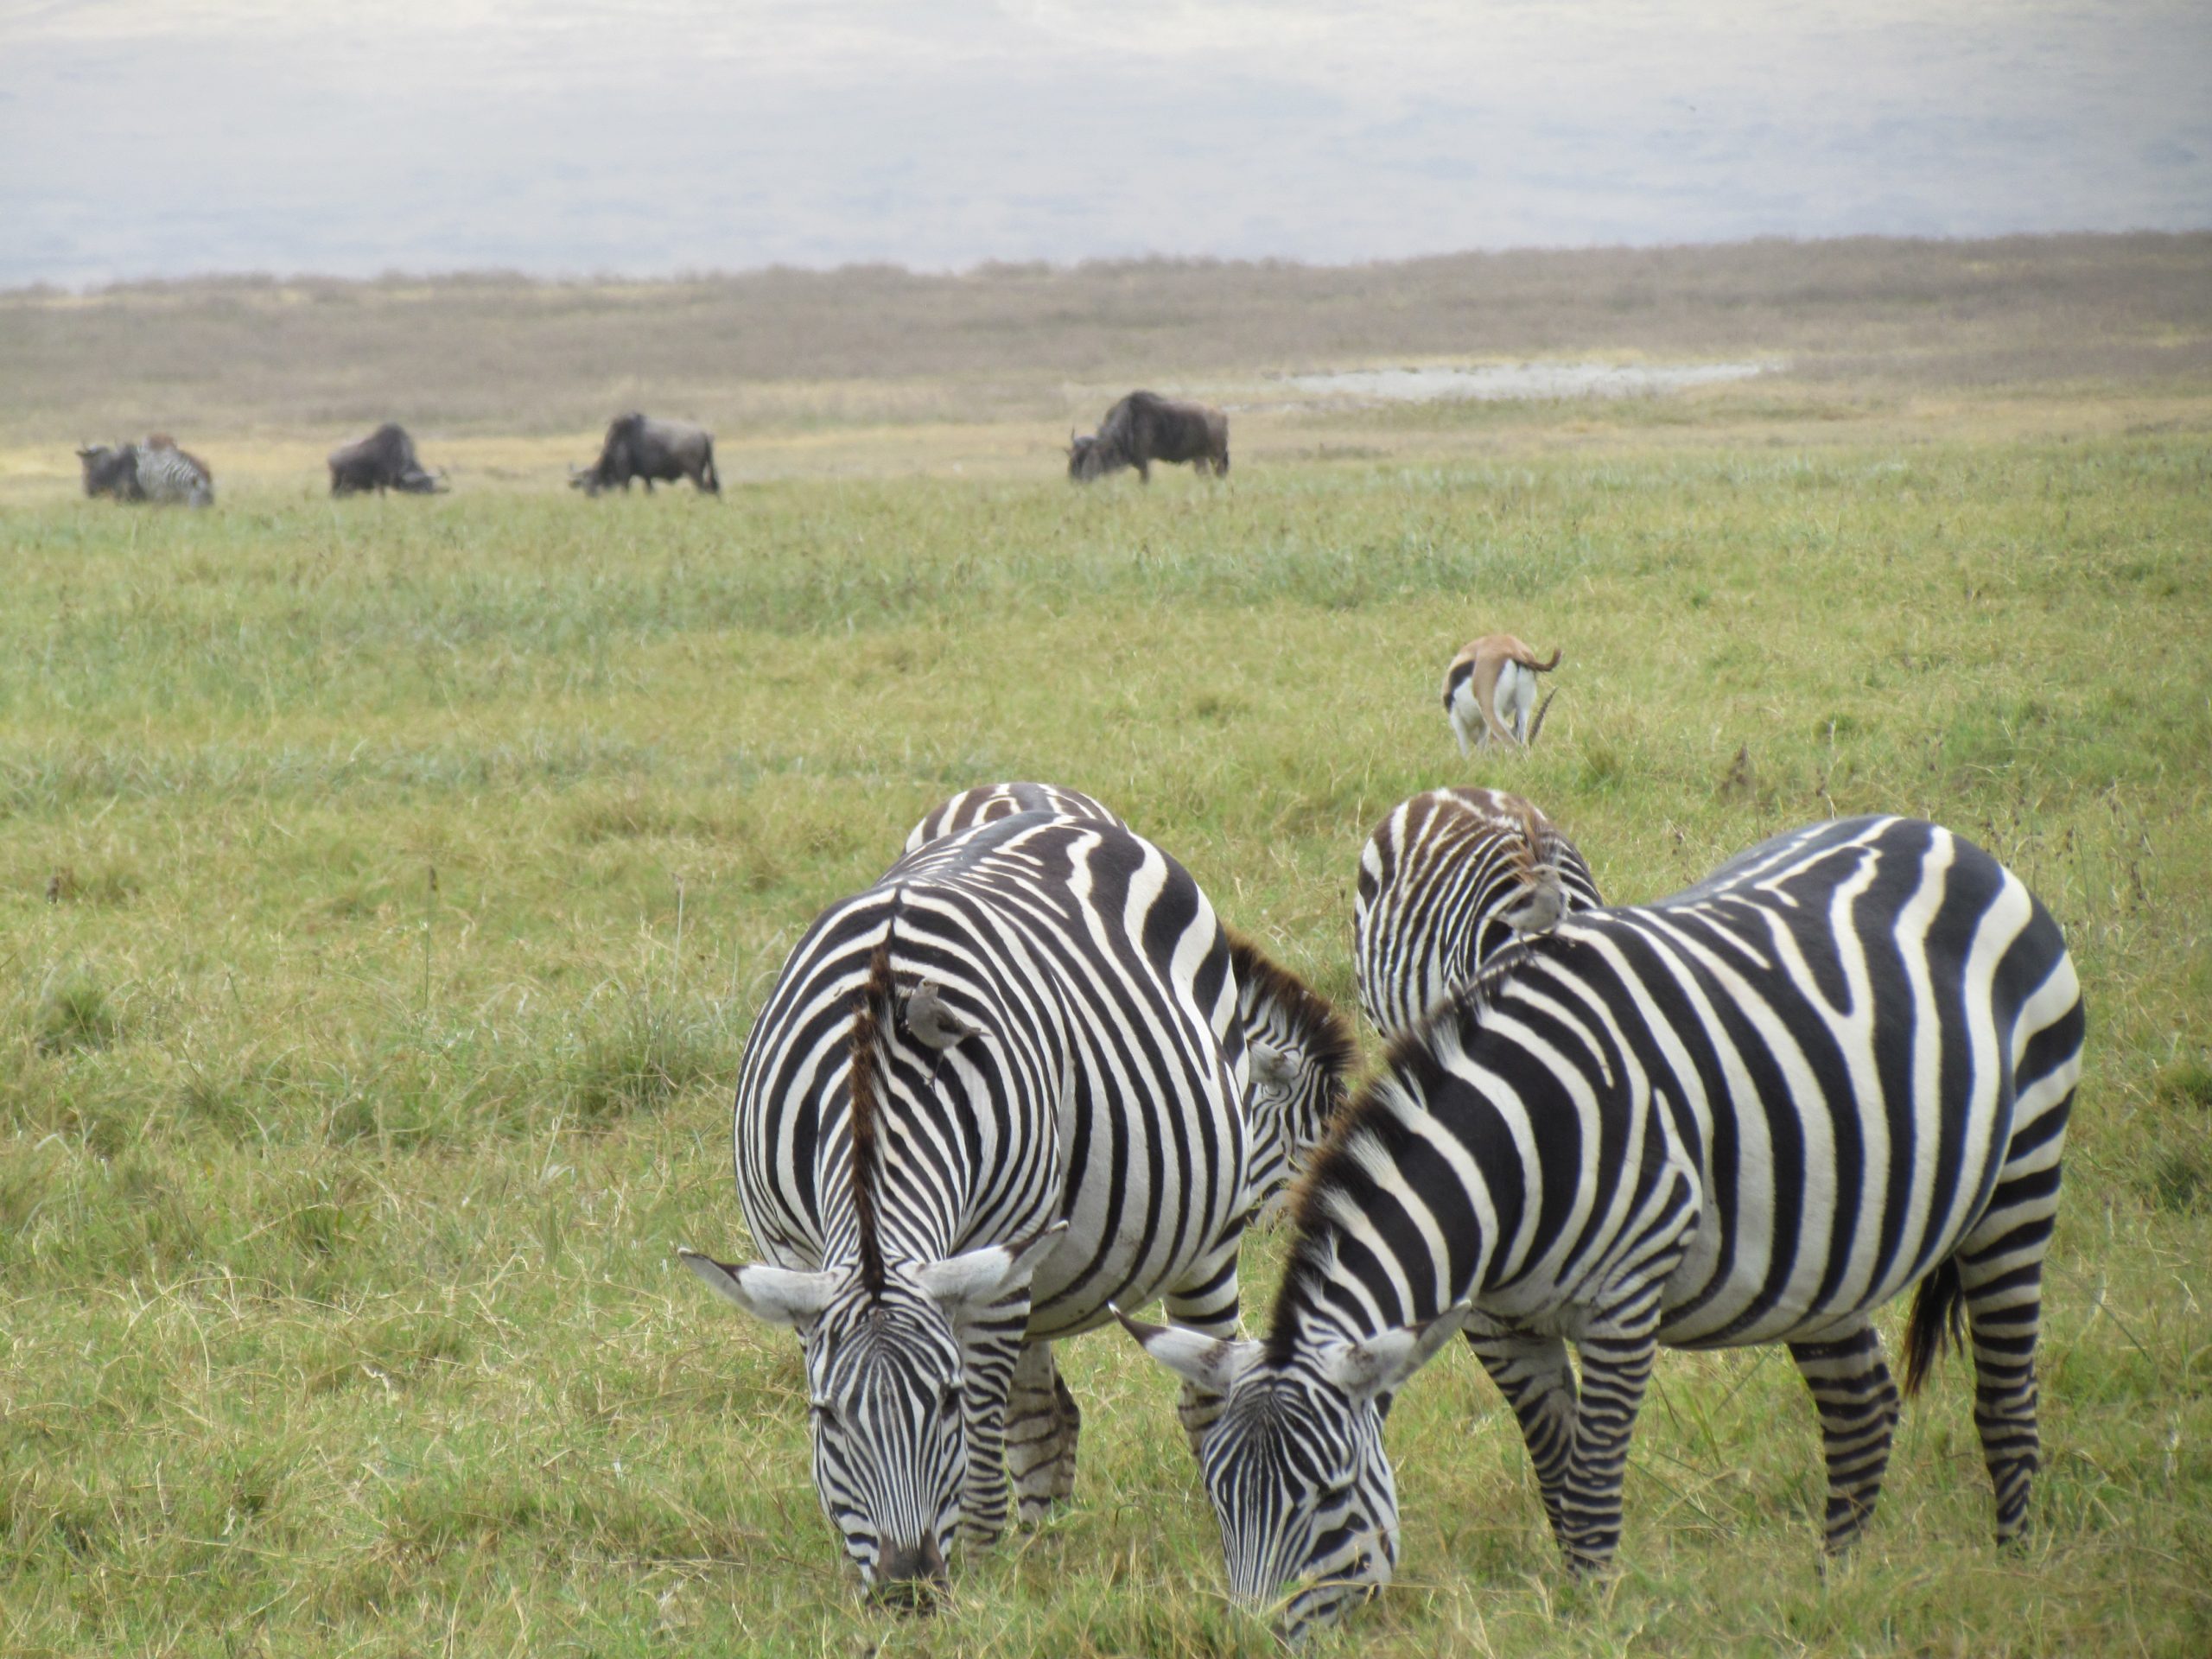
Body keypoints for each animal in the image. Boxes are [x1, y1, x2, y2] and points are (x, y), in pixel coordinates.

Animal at [681, 814, 1256, 1601]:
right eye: (825, 1416)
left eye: (946, 1400)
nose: (908, 1590)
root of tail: (1050, 804)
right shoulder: (793, 1261)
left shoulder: (1000, 1251)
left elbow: (985, 1429)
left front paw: (981, 1564)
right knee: (1048, 1417)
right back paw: (1045, 1543)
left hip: (1204, 1234)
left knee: (1203, 1392)